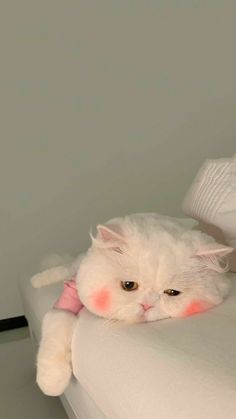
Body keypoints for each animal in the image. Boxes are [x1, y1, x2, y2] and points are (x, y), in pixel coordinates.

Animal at [32, 215, 233, 396]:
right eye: (129, 285)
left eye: (172, 293)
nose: (147, 305)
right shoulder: (65, 303)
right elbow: (55, 333)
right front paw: (51, 383)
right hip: (75, 268)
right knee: (64, 267)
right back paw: (36, 280)